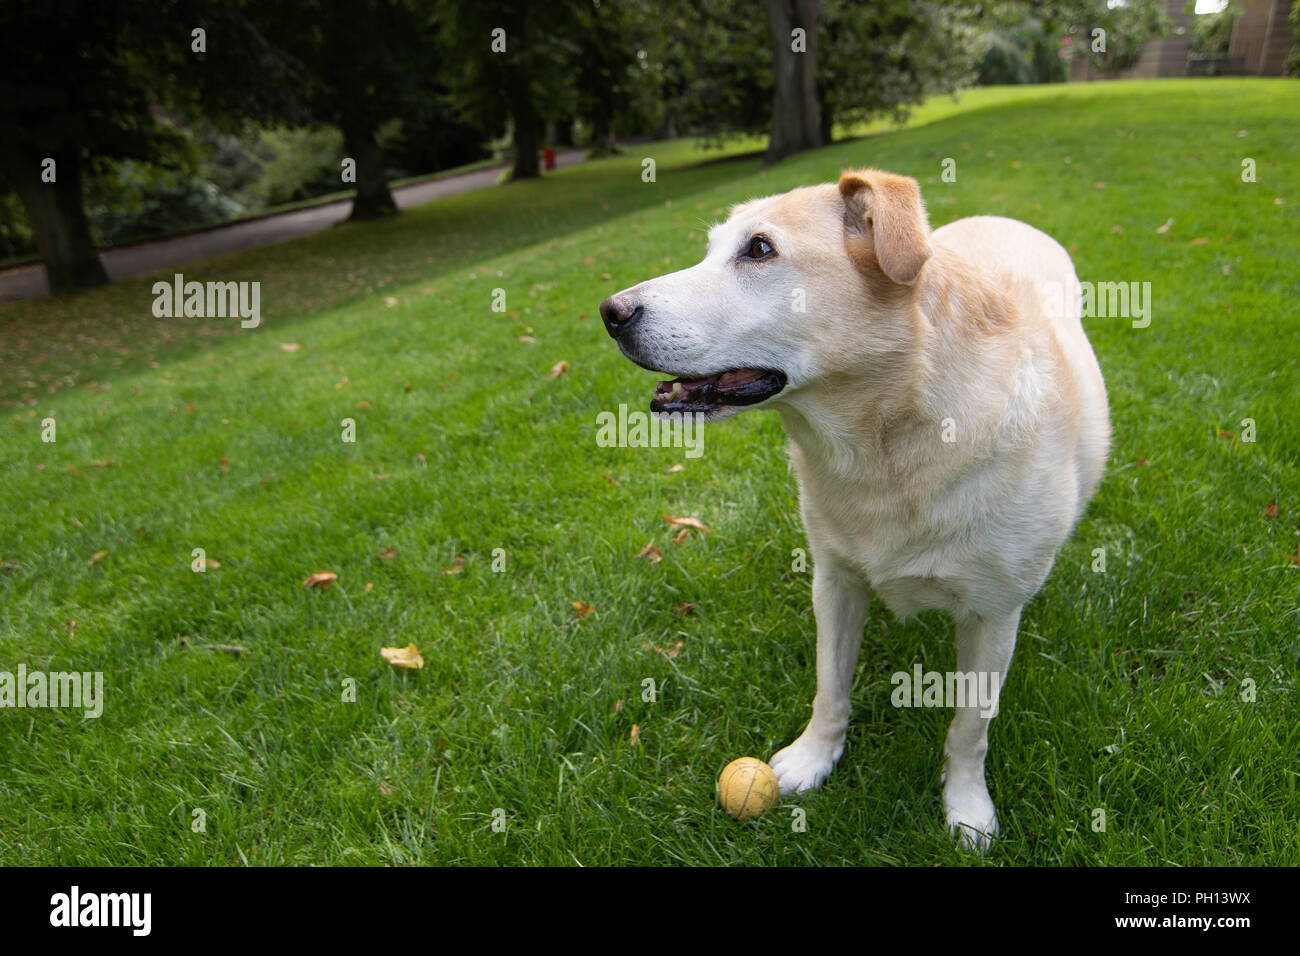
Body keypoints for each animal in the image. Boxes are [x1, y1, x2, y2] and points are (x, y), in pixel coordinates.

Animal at [598, 167, 1107, 848]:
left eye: (759, 249)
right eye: (710, 249)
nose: (610, 312)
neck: (886, 447)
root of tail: (1000, 217)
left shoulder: (993, 615)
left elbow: (969, 729)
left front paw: (967, 808)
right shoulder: (835, 581)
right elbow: (829, 687)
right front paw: (815, 758)